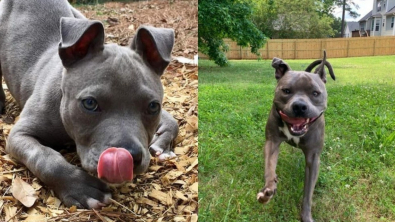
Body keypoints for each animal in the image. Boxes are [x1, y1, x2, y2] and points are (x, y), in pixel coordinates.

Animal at [0, 0, 179, 208]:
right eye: (90, 103)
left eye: (153, 107)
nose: (131, 156)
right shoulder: (19, 135)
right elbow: (45, 158)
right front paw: (82, 188)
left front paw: (162, 142)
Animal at [256, 52, 338, 222]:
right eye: (286, 91)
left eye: (315, 93)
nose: (299, 106)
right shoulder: (272, 143)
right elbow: (269, 168)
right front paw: (267, 191)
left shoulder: (313, 158)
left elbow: (308, 192)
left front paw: (306, 216)